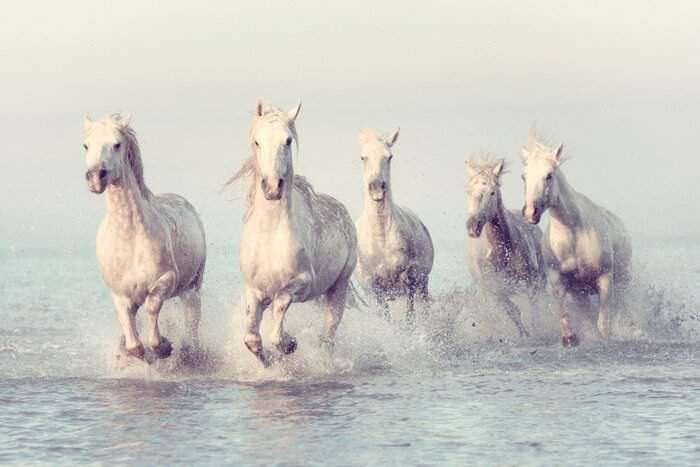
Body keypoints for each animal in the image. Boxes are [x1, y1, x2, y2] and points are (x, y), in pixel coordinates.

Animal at [83, 114, 206, 363]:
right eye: (86, 145)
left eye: (117, 144)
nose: (95, 177)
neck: (130, 239)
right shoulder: (120, 296)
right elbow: (134, 343)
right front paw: (139, 353)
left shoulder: (167, 279)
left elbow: (153, 306)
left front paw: (163, 346)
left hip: (192, 288)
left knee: (191, 321)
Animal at [226, 100, 357, 366]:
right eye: (257, 141)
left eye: (287, 140)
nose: (272, 187)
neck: (270, 234)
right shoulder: (254, 290)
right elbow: (252, 338)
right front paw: (269, 362)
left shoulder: (303, 281)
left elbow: (281, 302)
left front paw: (289, 344)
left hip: (339, 288)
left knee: (327, 336)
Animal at [354, 128, 434, 325]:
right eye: (363, 157)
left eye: (389, 156)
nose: (377, 187)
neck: (382, 239)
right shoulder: (374, 287)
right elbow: (386, 318)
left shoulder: (410, 276)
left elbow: (409, 317)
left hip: (423, 284)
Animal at [465, 157, 547, 337]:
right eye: (468, 191)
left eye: (492, 192)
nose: (473, 226)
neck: (502, 250)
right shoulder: (496, 290)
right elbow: (513, 311)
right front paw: (525, 336)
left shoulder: (533, 283)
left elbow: (535, 311)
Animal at [521, 132, 632, 347]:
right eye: (524, 176)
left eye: (549, 175)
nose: (530, 213)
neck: (573, 234)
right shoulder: (560, 280)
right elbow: (564, 312)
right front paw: (570, 338)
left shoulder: (605, 279)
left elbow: (602, 322)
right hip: (582, 295)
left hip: (623, 280)